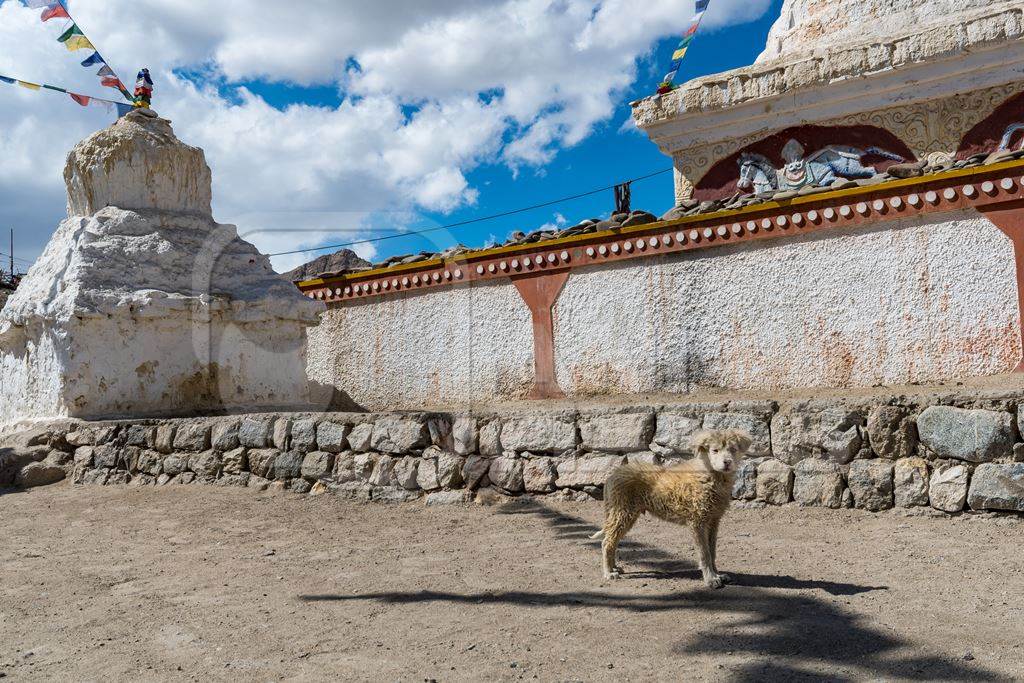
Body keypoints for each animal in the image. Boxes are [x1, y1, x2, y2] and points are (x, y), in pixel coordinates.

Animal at [593, 432, 753, 589]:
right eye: (715, 450)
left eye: (733, 450)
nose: (727, 462)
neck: (711, 475)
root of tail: (614, 474)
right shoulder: (697, 523)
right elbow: (704, 554)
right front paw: (710, 579)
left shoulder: (714, 521)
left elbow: (712, 551)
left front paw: (717, 574)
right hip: (623, 513)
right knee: (607, 542)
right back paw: (608, 572)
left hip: (624, 515)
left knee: (613, 541)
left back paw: (614, 568)